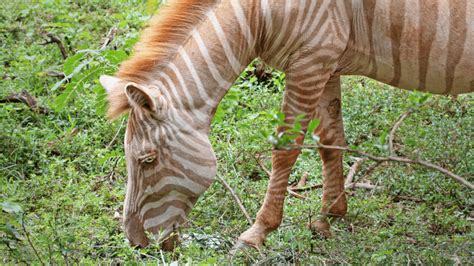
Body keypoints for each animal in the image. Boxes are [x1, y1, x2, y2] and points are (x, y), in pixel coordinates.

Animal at [100, 0, 474, 249]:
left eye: (147, 160)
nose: (135, 243)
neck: (257, 14)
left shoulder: (311, 62)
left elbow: (286, 149)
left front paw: (258, 233)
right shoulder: (327, 64)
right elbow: (330, 141)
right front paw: (328, 217)